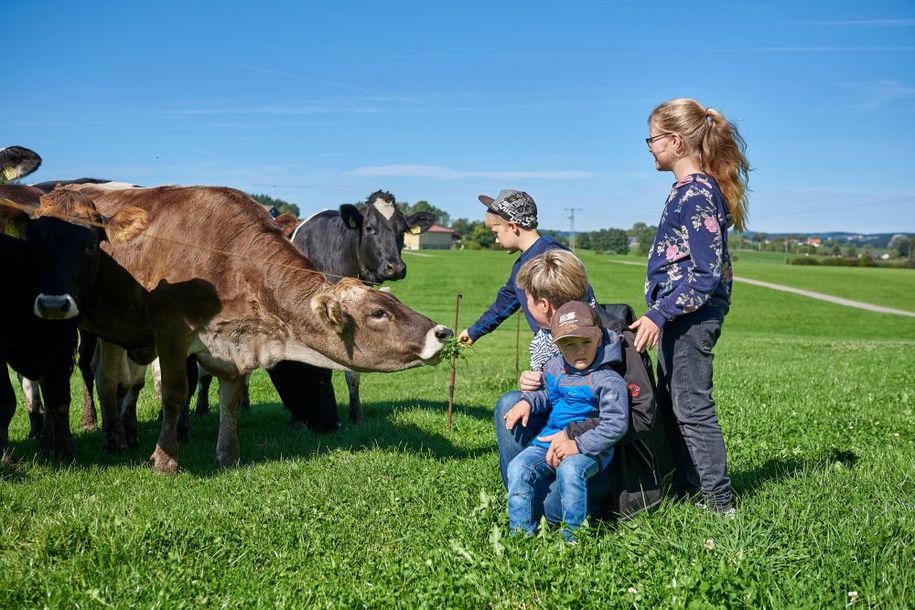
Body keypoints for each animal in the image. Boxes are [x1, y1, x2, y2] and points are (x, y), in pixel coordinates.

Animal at [44, 183, 452, 472]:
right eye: (378, 313)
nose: (442, 332)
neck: (224, 256)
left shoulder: (235, 344)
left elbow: (231, 398)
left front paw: (228, 454)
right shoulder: (171, 334)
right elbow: (175, 393)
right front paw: (166, 457)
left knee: (108, 376)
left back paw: (118, 434)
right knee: (91, 375)